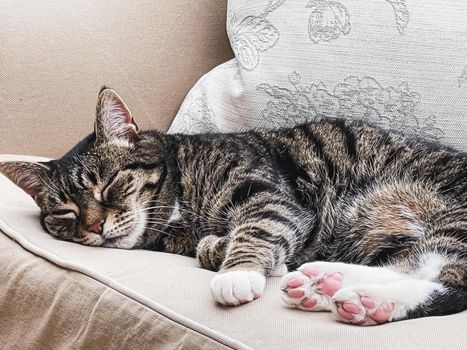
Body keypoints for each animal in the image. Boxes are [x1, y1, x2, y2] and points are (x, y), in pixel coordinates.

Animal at [0, 87, 467, 326]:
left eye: (108, 186)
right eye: (66, 214)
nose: (95, 228)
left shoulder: (269, 197)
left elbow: (255, 230)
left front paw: (237, 272)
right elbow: (210, 246)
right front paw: (254, 260)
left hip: (441, 214)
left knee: (450, 281)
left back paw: (368, 301)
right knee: (410, 265)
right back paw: (323, 283)